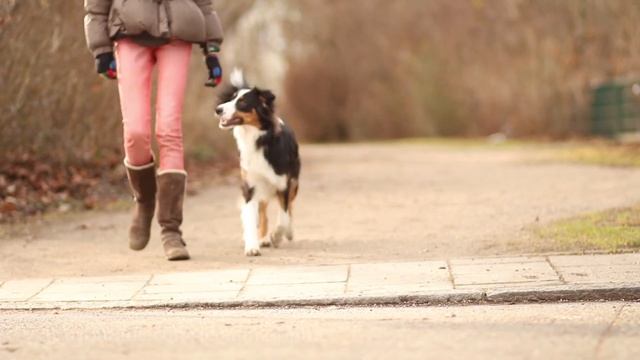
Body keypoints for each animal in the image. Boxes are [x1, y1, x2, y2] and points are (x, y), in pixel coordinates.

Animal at [216, 70, 302, 256]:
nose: (218, 109)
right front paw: (252, 246)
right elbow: (250, 217)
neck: (258, 139)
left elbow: (284, 216)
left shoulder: (283, 183)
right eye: (231, 98)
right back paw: (263, 238)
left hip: (294, 182)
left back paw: (288, 233)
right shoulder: (250, 185)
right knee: (263, 212)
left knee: (290, 207)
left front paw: (278, 235)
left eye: (242, 102)